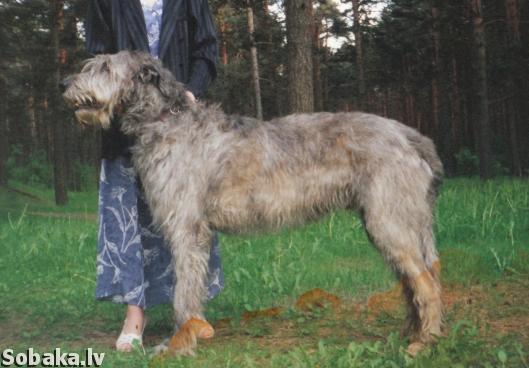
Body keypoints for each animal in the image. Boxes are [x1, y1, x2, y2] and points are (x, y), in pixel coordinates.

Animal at [64, 50, 444, 356]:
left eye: (104, 67)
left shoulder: (186, 229)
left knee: (425, 282)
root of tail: (410, 135)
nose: (64, 81)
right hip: (389, 221)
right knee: (418, 278)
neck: (166, 121)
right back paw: (412, 332)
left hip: (389, 221)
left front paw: (177, 344)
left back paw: (425, 342)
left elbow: (183, 294)